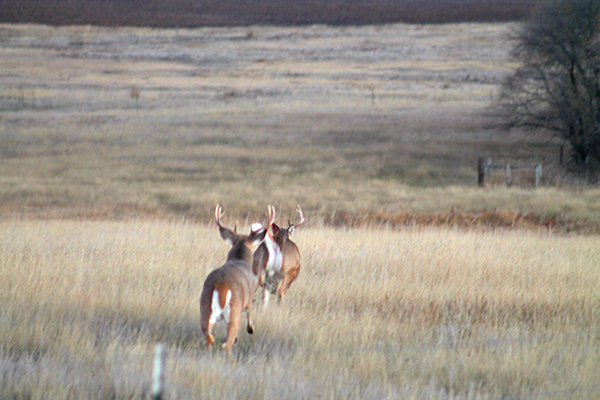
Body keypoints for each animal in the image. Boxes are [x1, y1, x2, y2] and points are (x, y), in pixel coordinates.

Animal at [199, 205, 274, 354]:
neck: (239, 259)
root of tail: (221, 286)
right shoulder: (249, 297)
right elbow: (250, 312)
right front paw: (250, 329)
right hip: (234, 311)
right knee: (226, 342)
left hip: (205, 308)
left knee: (208, 336)